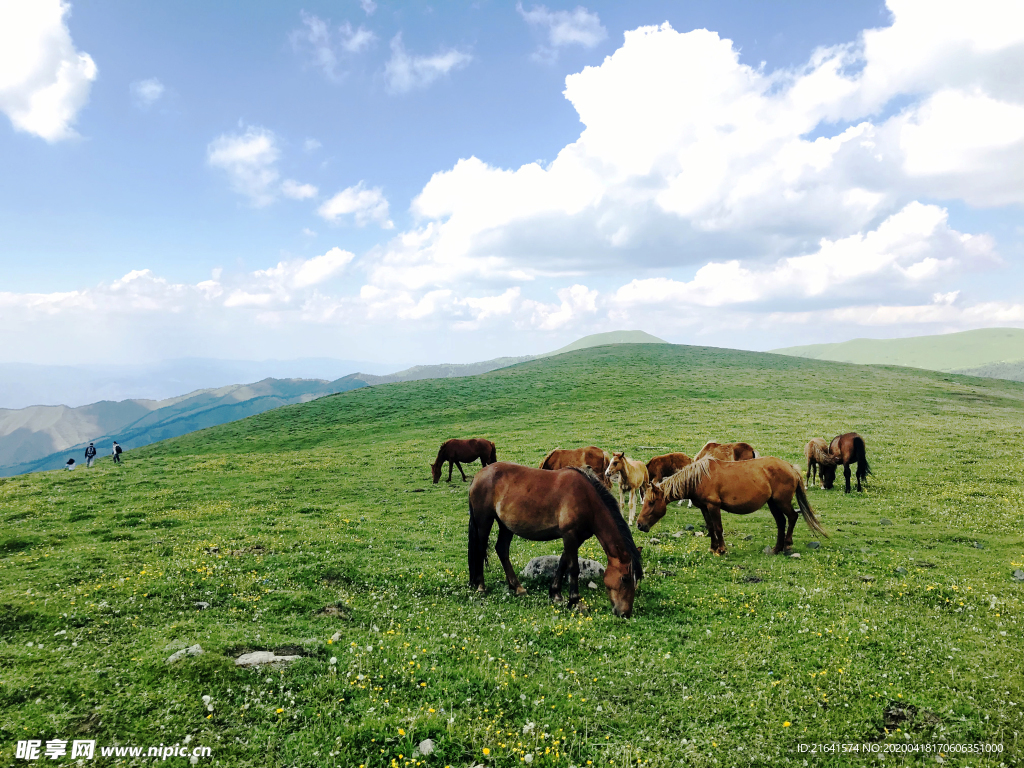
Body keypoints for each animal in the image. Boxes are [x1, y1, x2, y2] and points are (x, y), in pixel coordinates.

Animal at [468, 462, 643, 618]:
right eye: (625, 578)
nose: (625, 613)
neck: (587, 499)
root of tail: (478, 476)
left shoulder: (577, 538)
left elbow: (563, 562)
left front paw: (556, 594)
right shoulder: (570, 534)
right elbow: (573, 568)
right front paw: (575, 601)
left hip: (506, 526)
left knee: (502, 549)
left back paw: (517, 587)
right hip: (484, 521)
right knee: (481, 549)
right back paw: (481, 586)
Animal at [634, 460, 827, 557]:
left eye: (651, 503)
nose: (639, 525)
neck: (699, 477)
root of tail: (791, 468)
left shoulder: (714, 506)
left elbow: (718, 528)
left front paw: (721, 549)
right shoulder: (704, 507)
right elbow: (711, 527)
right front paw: (713, 548)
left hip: (782, 502)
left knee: (792, 518)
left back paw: (787, 546)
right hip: (773, 503)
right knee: (781, 522)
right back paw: (776, 549)